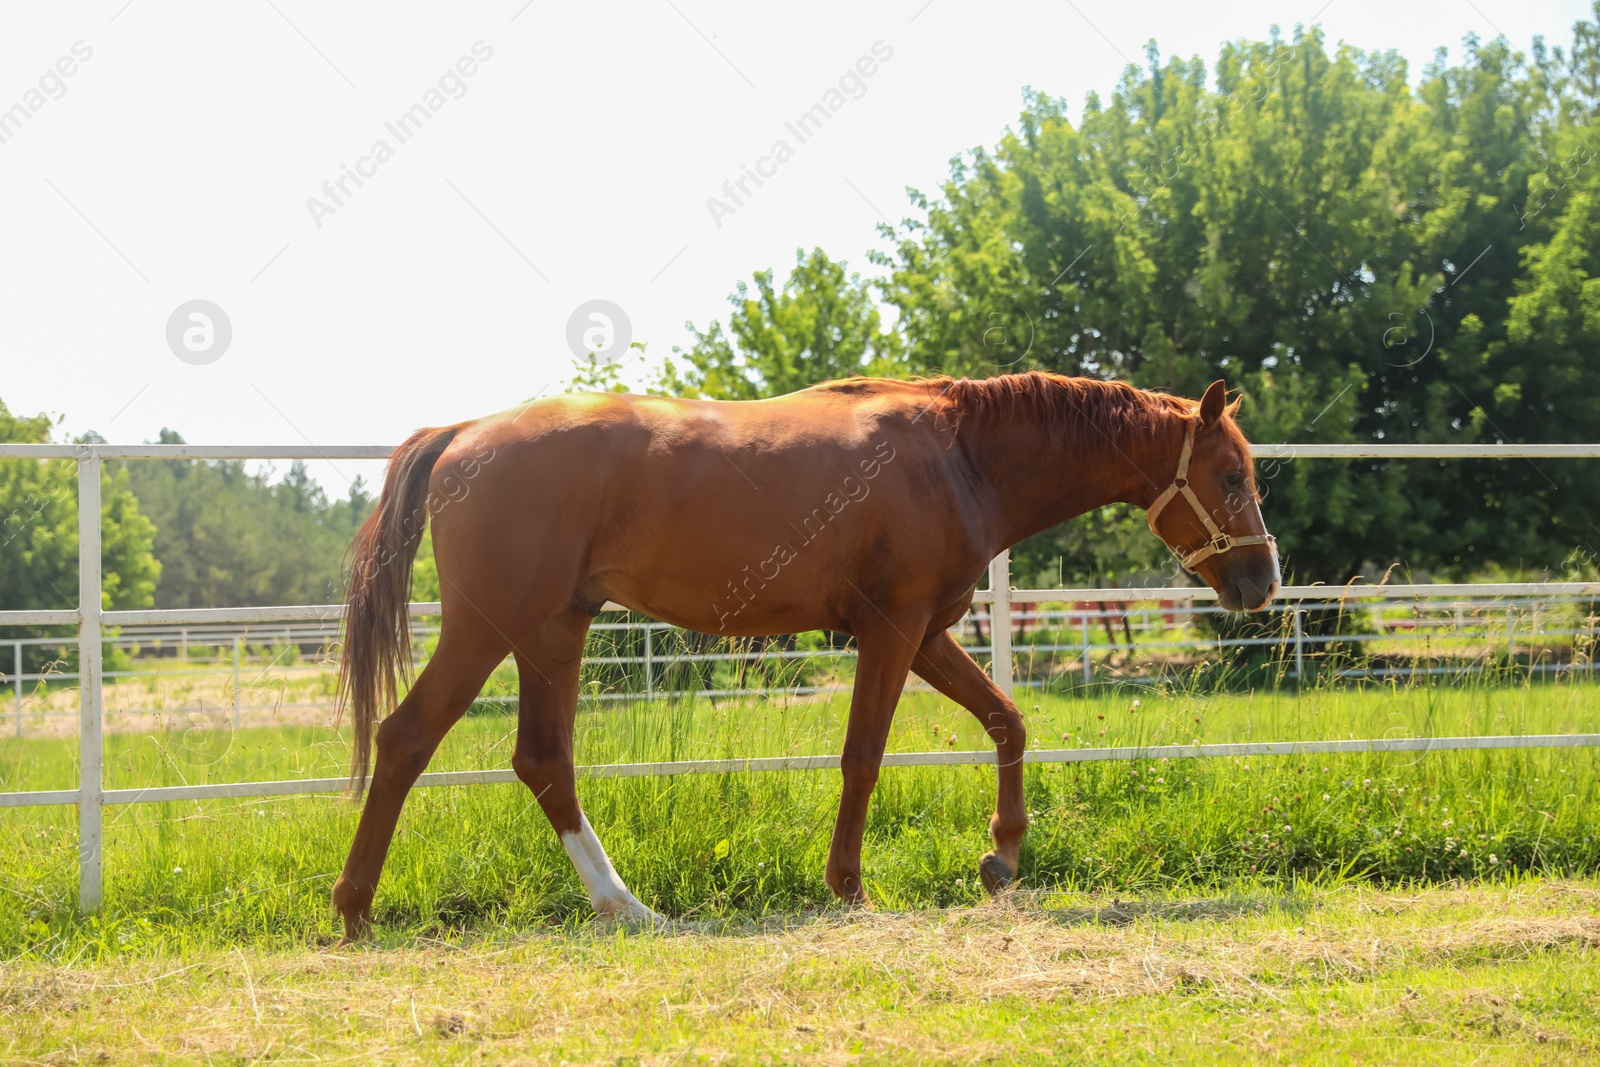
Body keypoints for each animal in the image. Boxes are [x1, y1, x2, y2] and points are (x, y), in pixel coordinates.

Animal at [331, 374, 1280, 934]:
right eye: (1232, 476)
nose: (1264, 581)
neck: (959, 454)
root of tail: (465, 430)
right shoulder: (892, 630)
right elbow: (864, 755)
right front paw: (850, 883)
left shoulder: (928, 632)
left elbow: (1007, 720)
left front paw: (1002, 856)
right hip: (487, 629)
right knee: (405, 738)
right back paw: (355, 908)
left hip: (554, 632)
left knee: (543, 763)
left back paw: (626, 905)